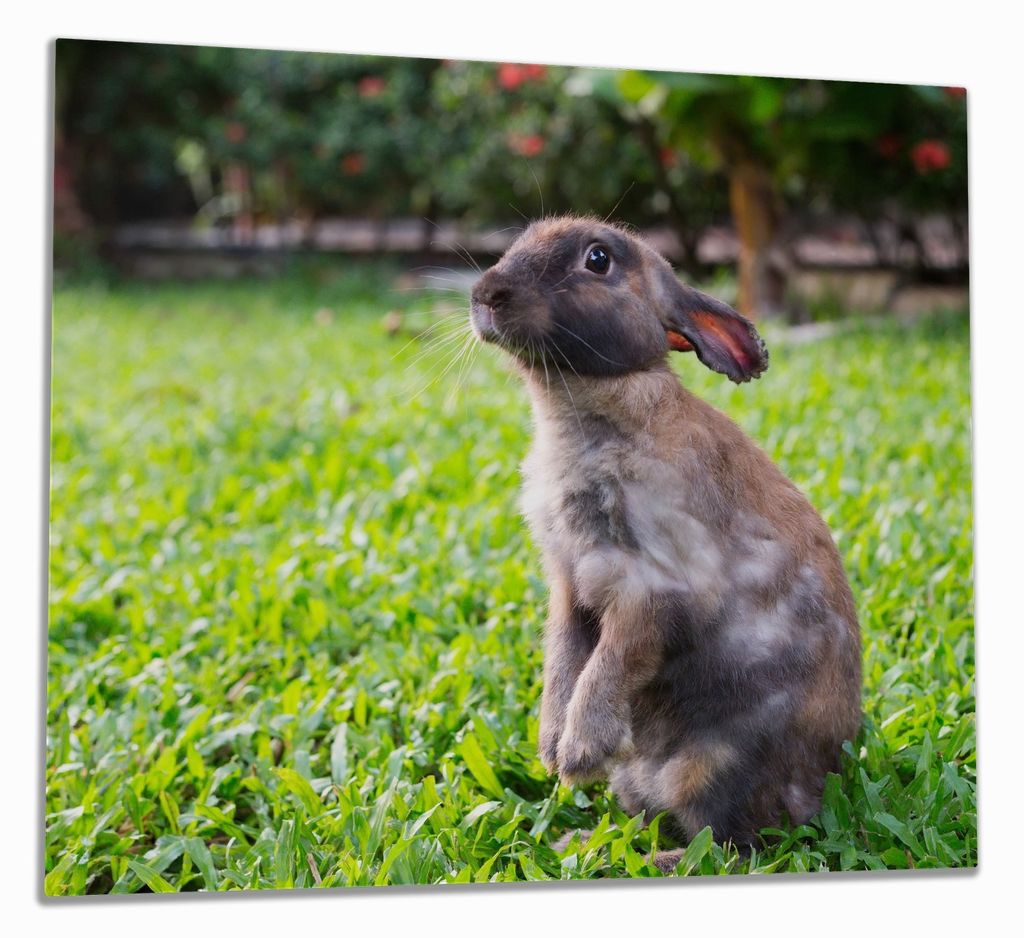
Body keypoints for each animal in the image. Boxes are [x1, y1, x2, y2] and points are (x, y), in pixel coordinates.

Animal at [469, 215, 862, 868]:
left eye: (598, 259)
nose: (485, 294)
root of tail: (819, 791)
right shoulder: (569, 586)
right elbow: (564, 659)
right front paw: (551, 747)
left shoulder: (651, 589)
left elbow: (611, 662)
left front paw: (577, 754)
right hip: (642, 780)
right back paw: (584, 844)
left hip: (712, 770)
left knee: (731, 846)